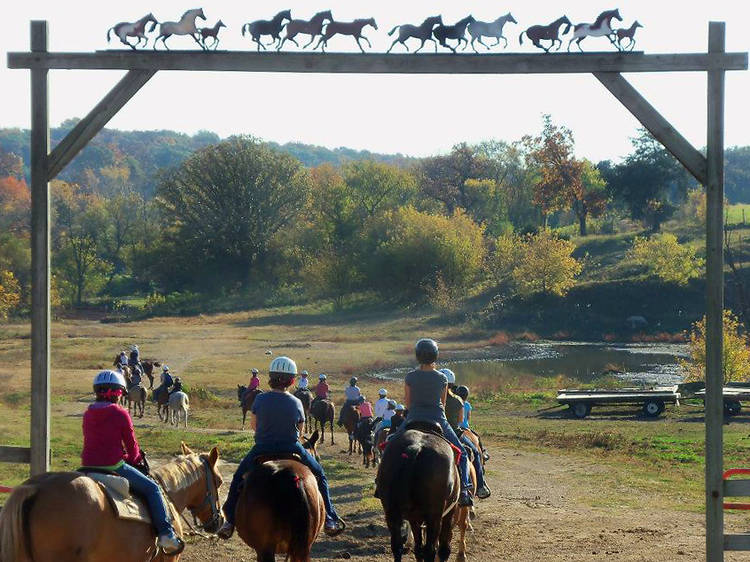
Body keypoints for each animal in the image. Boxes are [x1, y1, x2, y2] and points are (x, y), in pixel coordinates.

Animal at [378, 424, 462, 560]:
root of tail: (415, 447)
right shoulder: (449, 514)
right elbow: (443, 548)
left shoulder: (414, 518)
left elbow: (418, 548)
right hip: (434, 518)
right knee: (430, 550)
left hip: (391, 513)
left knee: (397, 546)